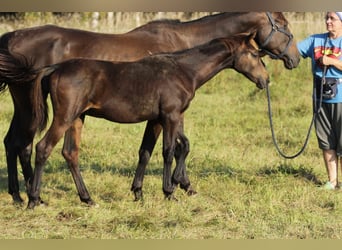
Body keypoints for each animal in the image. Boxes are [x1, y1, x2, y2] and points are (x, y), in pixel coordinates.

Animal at [0, 11, 300, 204]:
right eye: (284, 27)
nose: (266, 79)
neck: (183, 66)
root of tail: (55, 68)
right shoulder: (171, 115)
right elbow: (172, 150)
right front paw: (173, 189)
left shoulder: (159, 118)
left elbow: (152, 150)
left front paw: (142, 191)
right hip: (53, 114)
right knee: (37, 147)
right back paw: (33, 197)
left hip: (73, 117)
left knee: (56, 151)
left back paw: (73, 198)